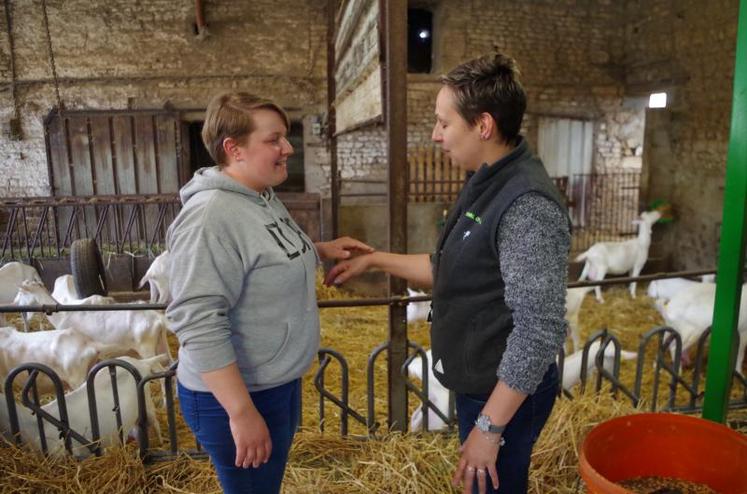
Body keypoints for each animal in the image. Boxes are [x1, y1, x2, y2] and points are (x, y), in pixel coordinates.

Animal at [14, 282, 172, 362]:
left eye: (21, 292)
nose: (15, 303)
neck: (62, 315)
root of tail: (157, 318)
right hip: (161, 343)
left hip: (147, 348)